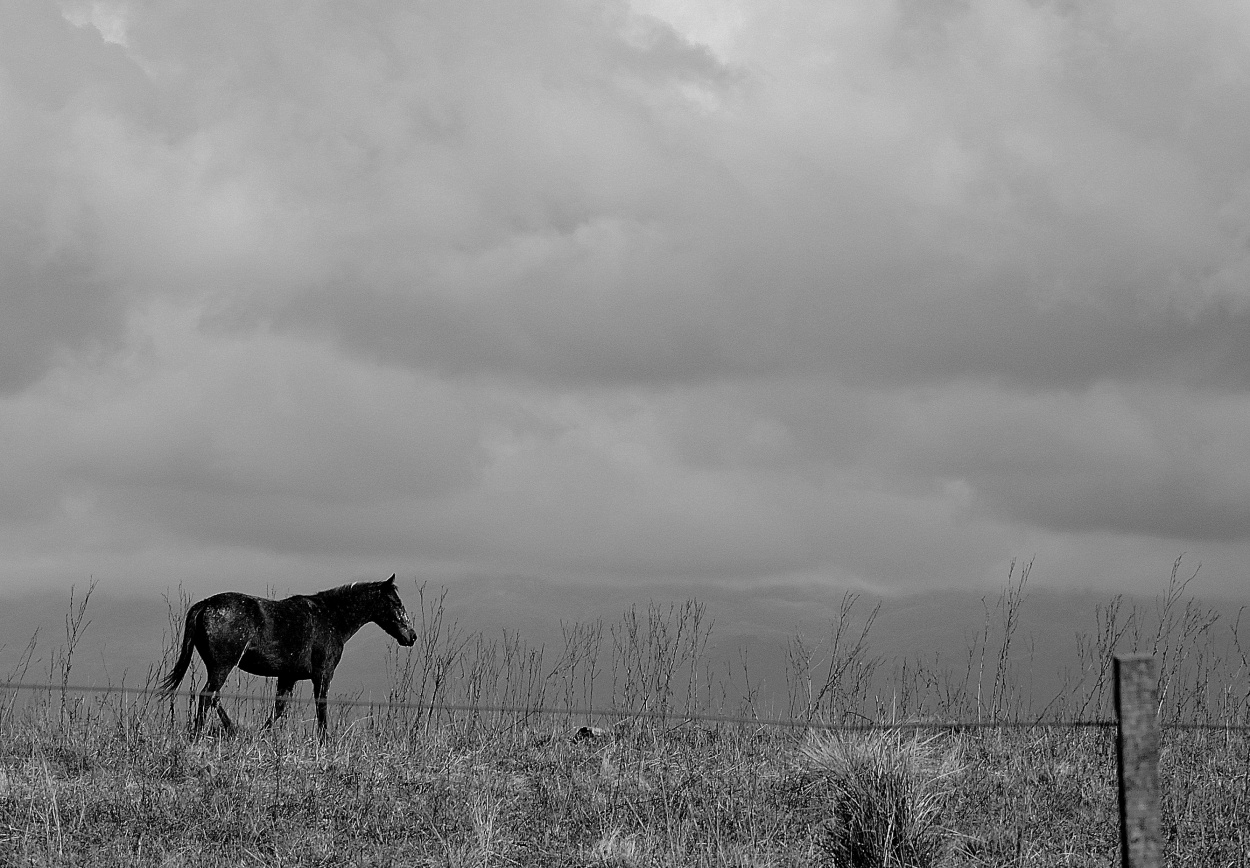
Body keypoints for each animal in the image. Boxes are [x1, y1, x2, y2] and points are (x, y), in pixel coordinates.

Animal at [156, 575, 417, 735]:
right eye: (396, 603)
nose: (411, 636)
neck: (331, 617)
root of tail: (205, 605)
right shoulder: (323, 674)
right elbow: (321, 707)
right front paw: (324, 741)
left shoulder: (287, 676)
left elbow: (279, 709)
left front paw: (263, 734)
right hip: (222, 666)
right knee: (207, 696)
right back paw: (203, 733)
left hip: (219, 667)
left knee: (213, 697)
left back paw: (232, 730)